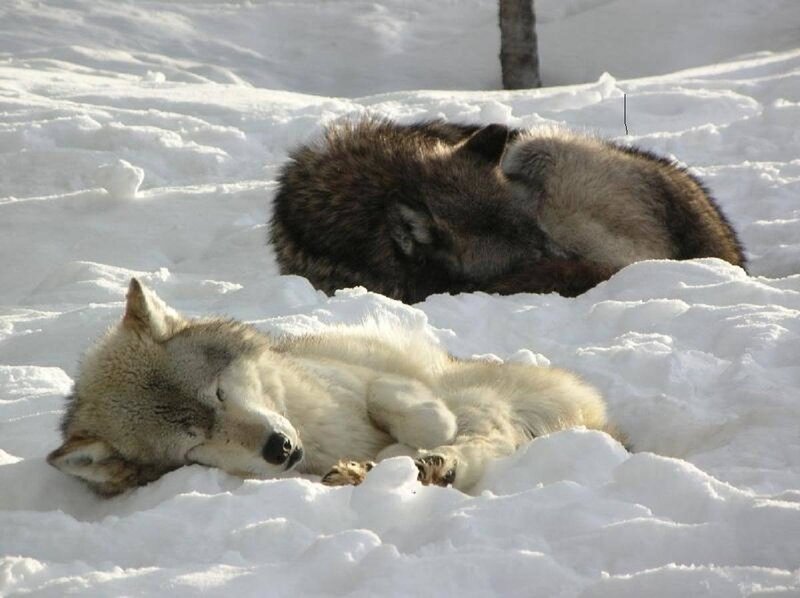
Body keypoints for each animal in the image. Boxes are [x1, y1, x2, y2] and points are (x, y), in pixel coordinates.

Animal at [47, 278, 617, 497]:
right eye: (195, 445)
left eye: (220, 394)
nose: (278, 449)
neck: (316, 433)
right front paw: (369, 463)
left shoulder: (369, 375)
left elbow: (397, 399)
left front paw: (411, 434)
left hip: (481, 398)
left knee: (478, 440)